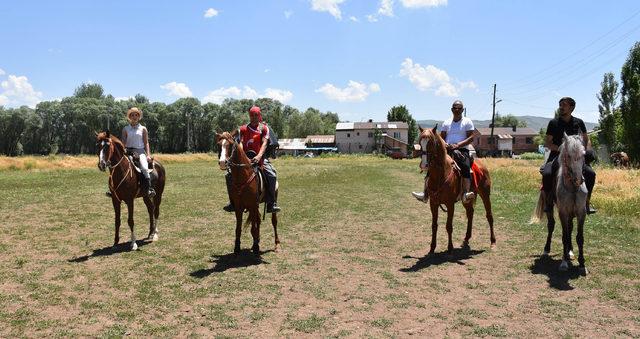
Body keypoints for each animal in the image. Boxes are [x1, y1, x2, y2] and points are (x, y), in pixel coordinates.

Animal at [412, 126, 498, 254]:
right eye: (420, 142)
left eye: (431, 142)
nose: (424, 165)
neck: (441, 175)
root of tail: (482, 165)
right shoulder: (433, 203)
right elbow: (434, 225)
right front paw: (432, 248)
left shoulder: (450, 204)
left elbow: (449, 226)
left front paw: (450, 249)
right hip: (466, 199)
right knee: (470, 213)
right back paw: (466, 239)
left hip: (485, 194)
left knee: (489, 216)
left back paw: (493, 242)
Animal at [532, 134, 588, 274]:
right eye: (568, 155)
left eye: (583, 154)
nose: (579, 179)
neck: (572, 188)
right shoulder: (563, 212)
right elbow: (564, 236)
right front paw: (564, 263)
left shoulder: (581, 212)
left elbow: (579, 237)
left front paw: (582, 264)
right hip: (551, 207)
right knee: (551, 225)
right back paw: (547, 250)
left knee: (570, 228)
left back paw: (570, 251)